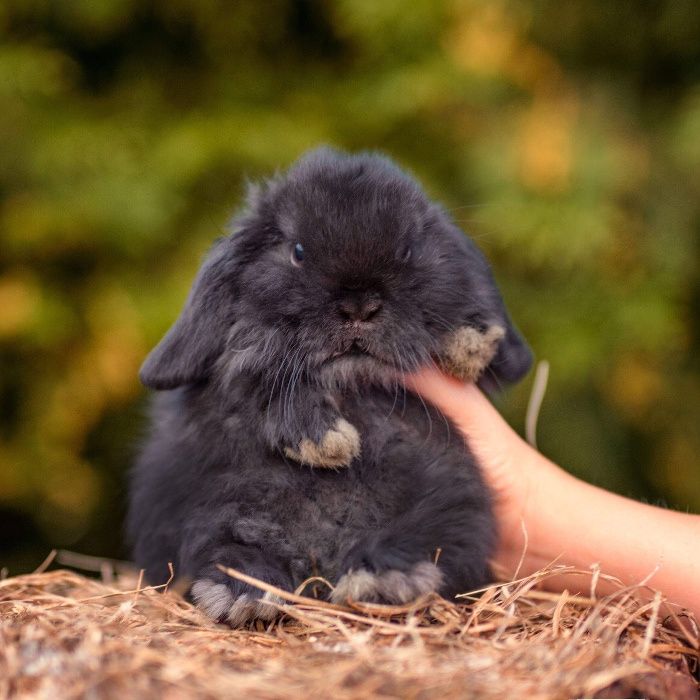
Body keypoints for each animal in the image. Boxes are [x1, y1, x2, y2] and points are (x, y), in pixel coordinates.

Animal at [126, 146, 532, 624]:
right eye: (298, 251)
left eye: (408, 250)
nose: (359, 305)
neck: (349, 387)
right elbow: (253, 377)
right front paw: (325, 441)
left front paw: (470, 342)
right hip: (218, 508)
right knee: (230, 547)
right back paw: (244, 592)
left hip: (448, 502)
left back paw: (382, 578)